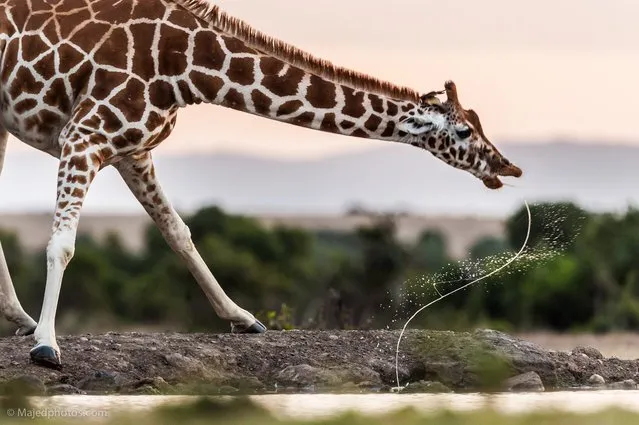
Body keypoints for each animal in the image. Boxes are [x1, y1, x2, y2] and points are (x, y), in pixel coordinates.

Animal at [0, 0, 520, 368]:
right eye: (463, 132)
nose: (508, 168)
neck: (186, 69)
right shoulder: (84, 136)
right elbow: (64, 243)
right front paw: (47, 346)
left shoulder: (132, 151)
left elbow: (179, 233)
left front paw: (243, 318)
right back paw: (28, 324)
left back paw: (19, 318)